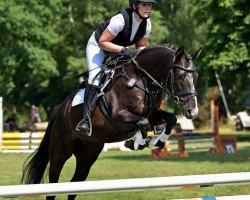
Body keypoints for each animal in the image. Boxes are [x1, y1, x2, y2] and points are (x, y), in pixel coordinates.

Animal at [21, 44, 201, 199]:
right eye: (180, 76)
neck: (140, 79)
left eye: (196, 76)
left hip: (88, 154)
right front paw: (137, 143)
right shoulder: (118, 118)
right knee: (53, 184)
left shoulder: (153, 115)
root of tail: (60, 108)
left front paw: (155, 142)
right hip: (60, 151)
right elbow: (142, 123)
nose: (192, 111)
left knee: (75, 184)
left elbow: (169, 119)